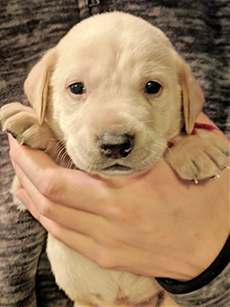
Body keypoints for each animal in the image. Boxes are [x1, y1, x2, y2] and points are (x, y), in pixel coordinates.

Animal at [0, 12, 229, 307]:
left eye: (152, 86)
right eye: (76, 88)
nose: (115, 144)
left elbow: (181, 132)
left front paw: (196, 146)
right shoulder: (23, 191)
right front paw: (32, 121)